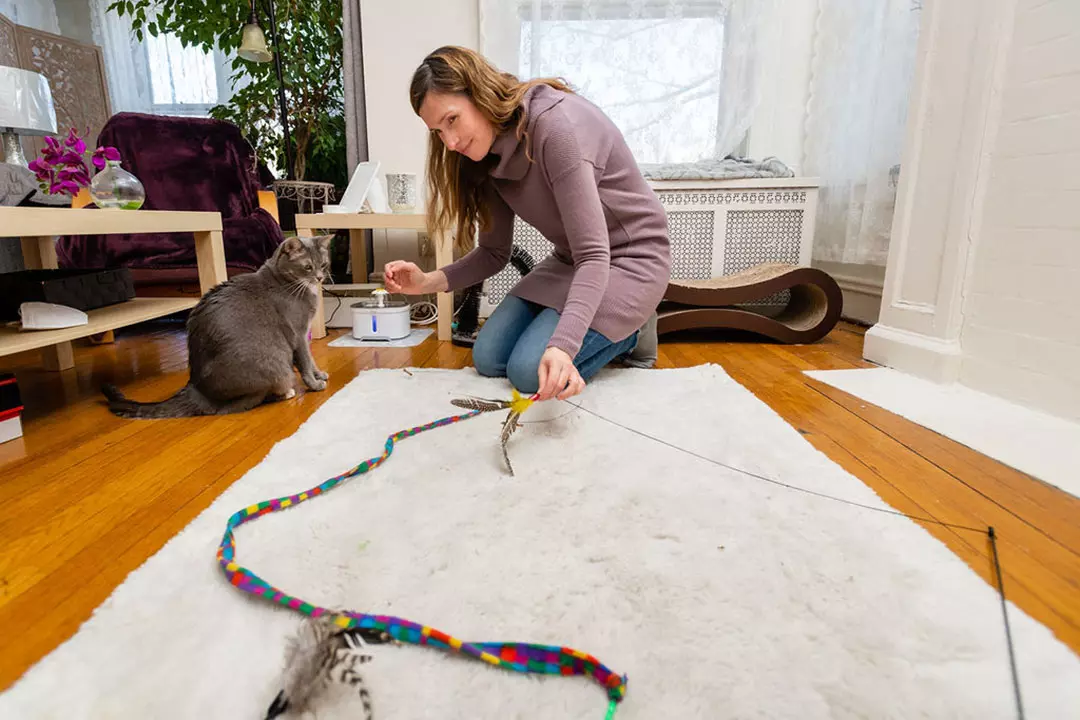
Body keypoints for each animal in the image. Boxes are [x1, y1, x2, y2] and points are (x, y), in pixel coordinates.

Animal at [105, 234, 334, 418]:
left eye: (324, 265)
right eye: (307, 267)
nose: (320, 278)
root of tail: (196, 388)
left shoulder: (304, 333)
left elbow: (311, 360)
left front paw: (320, 374)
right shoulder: (298, 334)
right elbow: (305, 361)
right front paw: (315, 384)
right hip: (274, 364)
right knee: (236, 406)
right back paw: (286, 392)